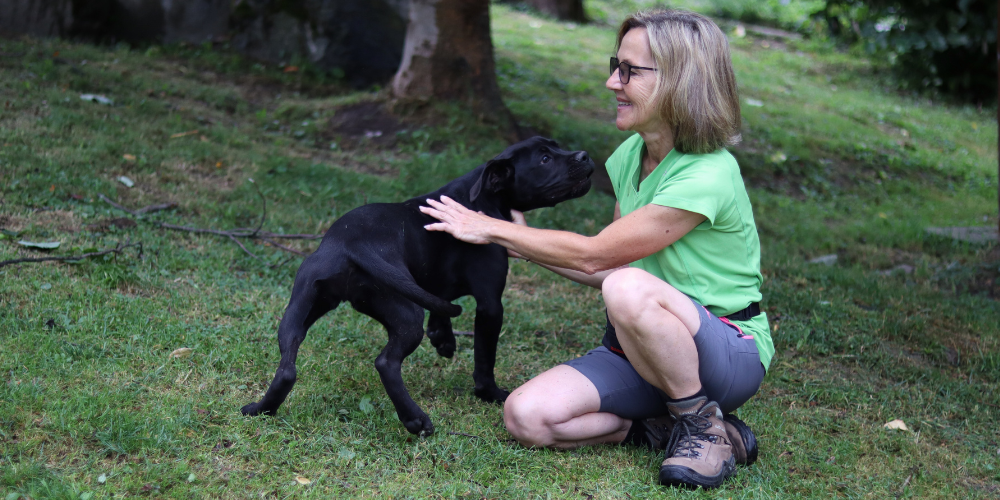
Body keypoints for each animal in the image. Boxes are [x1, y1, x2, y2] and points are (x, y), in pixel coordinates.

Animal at [241, 138, 592, 438]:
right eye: (544, 159)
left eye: (556, 146)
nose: (585, 155)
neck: (479, 197)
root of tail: (350, 243)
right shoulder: (491, 303)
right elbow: (484, 357)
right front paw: (489, 393)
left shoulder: (434, 283)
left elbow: (441, 302)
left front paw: (444, 339)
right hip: (405, 315)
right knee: (386, 362)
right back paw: (415, 420)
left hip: (300, 309)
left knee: (287, 367)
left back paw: (261, 409)